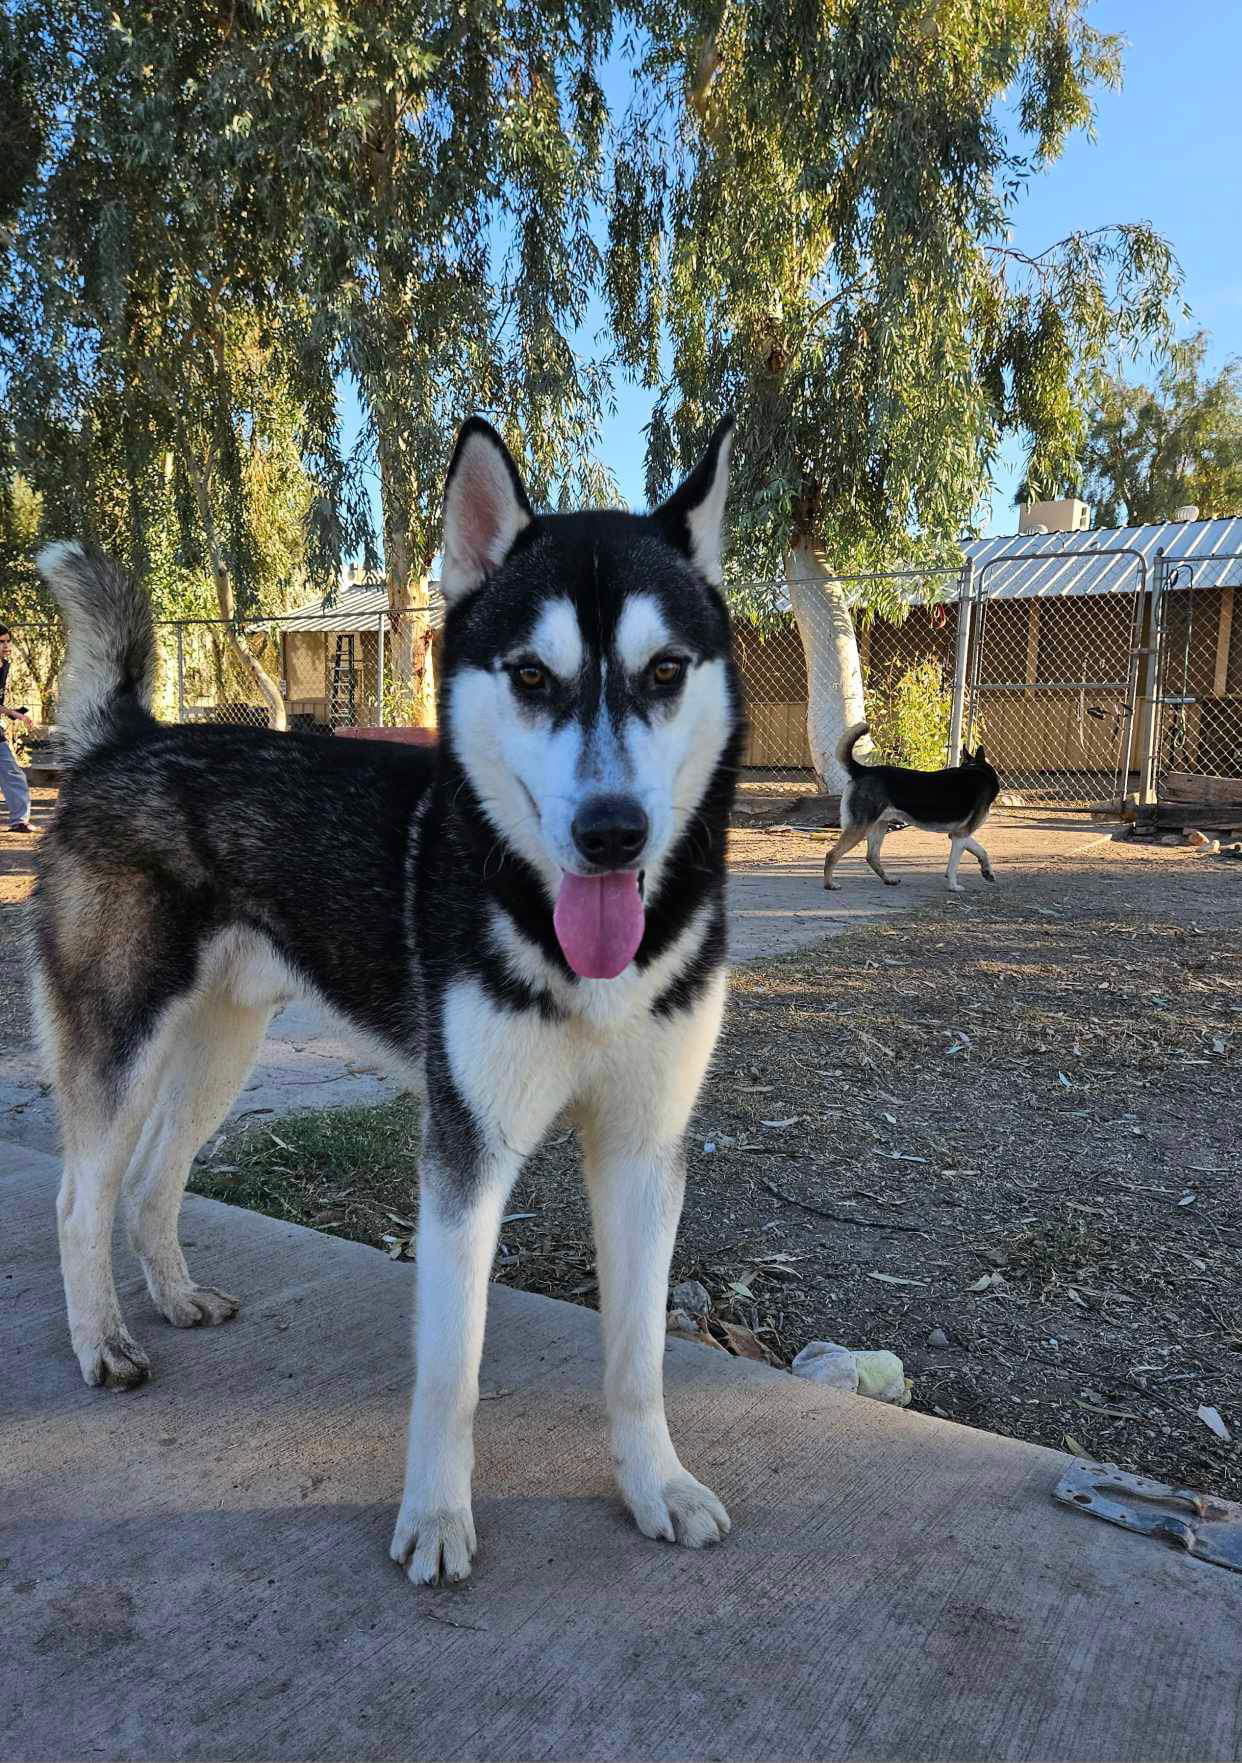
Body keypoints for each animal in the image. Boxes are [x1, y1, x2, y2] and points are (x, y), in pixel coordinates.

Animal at [31, 412, 748, 1586]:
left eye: (666, 669)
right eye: (533, 675)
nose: (611, 832)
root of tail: (131, 736)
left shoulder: (645, 1148)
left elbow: (638, 1357)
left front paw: (656, 1484)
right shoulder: (465, 1149)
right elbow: (452, 1366)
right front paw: (439, 1516)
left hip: (222, 1048)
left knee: (151, 1179)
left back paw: (174, 1295)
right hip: (121, 1040)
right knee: (82, 1196)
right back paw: (102, 1341)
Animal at [825, 719, 1002, 895]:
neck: (976, 768)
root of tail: (862, 770)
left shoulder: (958, 834)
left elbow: (981, 851)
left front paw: (987, 872)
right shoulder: (960, 836)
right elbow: (953, 866)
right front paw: (953, 886)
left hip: (879, 826)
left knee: (872, 857)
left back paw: (889, 880)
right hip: (861, 828)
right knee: (832, 855)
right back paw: (830, 884)